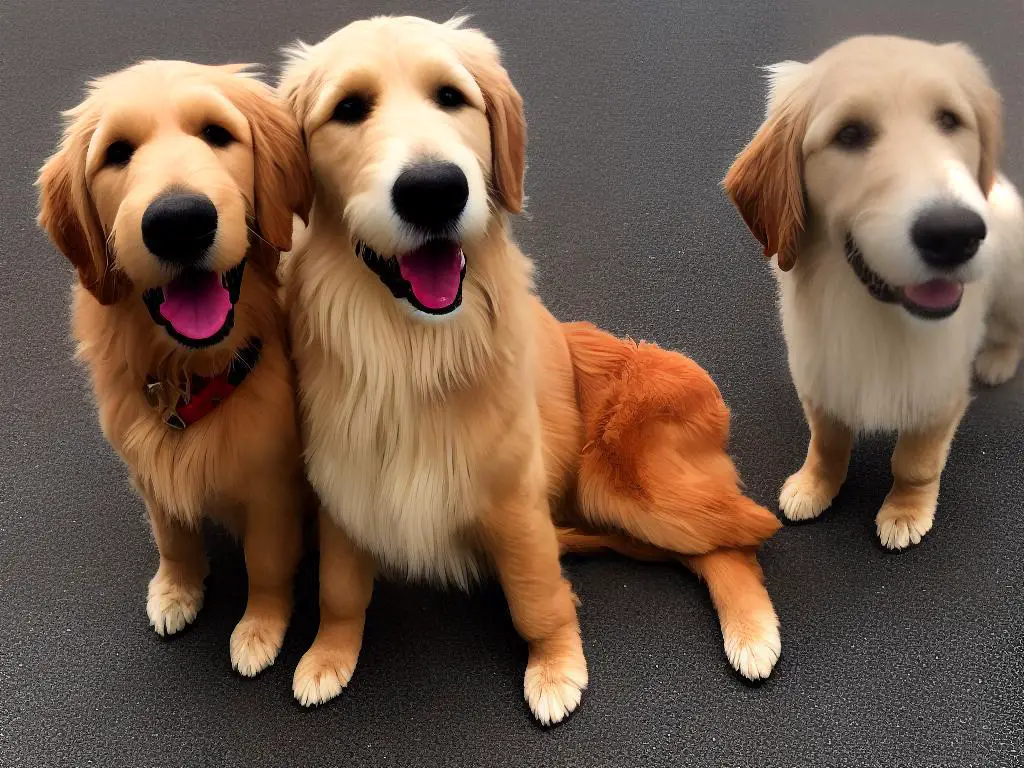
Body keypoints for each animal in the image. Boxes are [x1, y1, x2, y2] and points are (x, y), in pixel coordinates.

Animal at [276, 16, 778, 729]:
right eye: (348, 109)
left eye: (451, 97)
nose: (434, 190)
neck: (411, 349)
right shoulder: (345, 487)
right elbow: (340, 592)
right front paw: (327, 657)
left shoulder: (513, 500)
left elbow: (535, 599)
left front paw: (556, 667)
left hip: (632, 488)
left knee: (734, 542)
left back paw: (753, 634)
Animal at [720, 36, 1024, 548]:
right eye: (849, 134)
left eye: (949, 121)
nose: (955, 234)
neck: (872, 310)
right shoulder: (821, 377)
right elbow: (827, 443)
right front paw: (814, 486)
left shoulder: (937, 393)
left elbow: (914, 463)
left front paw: (905, 511)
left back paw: (998, 361)